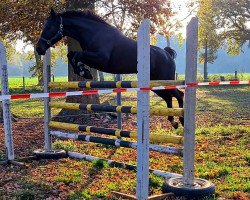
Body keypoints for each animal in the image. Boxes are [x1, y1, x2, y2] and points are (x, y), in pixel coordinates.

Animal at [35, 9, 184, 128]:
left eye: (49, 27)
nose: (39, 49)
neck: (94, 33)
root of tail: (167, 54)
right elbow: (71, 54)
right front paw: (84, 71)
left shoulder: (100, 58)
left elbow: (77, 55)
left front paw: (84, 72)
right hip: (155, 84)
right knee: (168, 97)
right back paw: (174, 122)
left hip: (164, 80)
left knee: (178, 94)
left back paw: (182, 120)